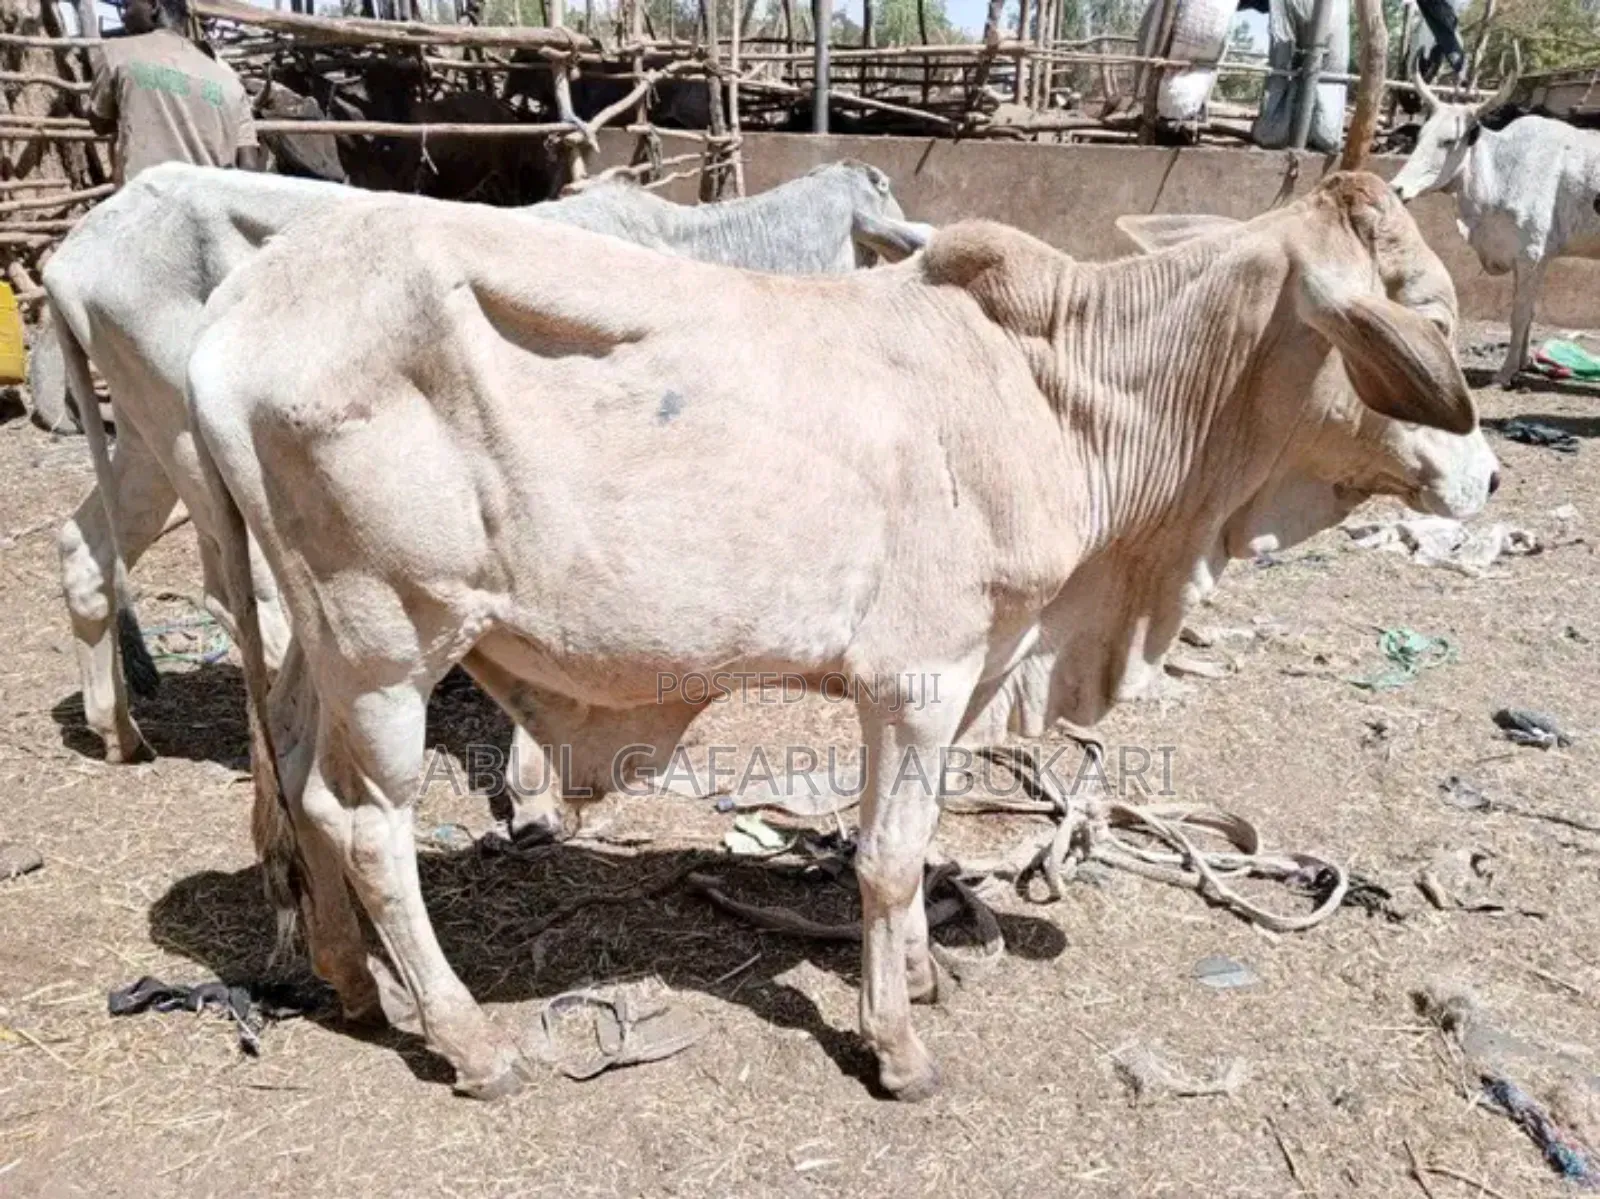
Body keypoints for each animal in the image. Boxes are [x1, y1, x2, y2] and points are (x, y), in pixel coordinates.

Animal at [42, 159, 917, 770]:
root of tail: (70, 252)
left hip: (148, 439)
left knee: (86, 549)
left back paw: (118, 730)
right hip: (190, 450)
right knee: (240, 599)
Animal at [184, 171, 1492, 1102]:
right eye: (1423, 309)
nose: (1485, 477)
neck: (1056, 391)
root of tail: (232, 316)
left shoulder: (952, 675)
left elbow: (906, 840)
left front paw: (917, 971)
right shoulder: (920, 674)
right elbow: (890, 851)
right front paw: (896, 1044)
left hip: (315, 641)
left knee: (295, 784)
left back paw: (354, 984)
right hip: (389, 637)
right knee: (365, 823)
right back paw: (466, 1039)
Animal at [1390, 65, 1600, 386]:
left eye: (1448, 141)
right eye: (1420, 136)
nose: (1397, 188)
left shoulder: (1530, 255)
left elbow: (1519, 315)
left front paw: (1505, 373)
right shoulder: (1535, 259)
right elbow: (1530, 311)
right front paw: (1524, 364)